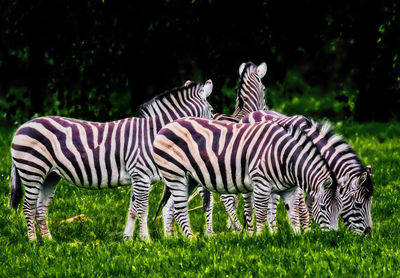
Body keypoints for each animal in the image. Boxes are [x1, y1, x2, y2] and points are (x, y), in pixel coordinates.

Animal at [9, 81, 214, 241]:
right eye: (212, 111)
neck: (152, 135)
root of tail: (22, 127)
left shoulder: (140, 179)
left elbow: (133, 209)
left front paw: (128, 239)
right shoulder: (141, 175)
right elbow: (143, 209)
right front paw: (146, 240)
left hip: (50, 175)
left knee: (40, 208)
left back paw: (48, 241)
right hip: (32, 170)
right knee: (28, 207)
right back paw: (33, 242)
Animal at [153, 117, 344, 237]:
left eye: (340, 209)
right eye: (323, 207)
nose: (334, 237)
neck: (284, 157)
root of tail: (167, 126)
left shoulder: (288, 189)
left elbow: (294, 214)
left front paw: (298, 238)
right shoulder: (261, 183)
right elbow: (260, 213)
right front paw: (260, 238)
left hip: (187, 180)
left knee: (169, 208)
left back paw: (173, 240)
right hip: (175, 174)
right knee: (180, 210)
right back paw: (191, 240)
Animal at [241, 109, 376, 236]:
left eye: (370, 203)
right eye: (358, 205)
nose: (368, 235)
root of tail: (254, 112)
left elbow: (310, 208)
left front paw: (309, 231)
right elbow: (303, 209)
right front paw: (306, 233)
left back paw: (273, 232)